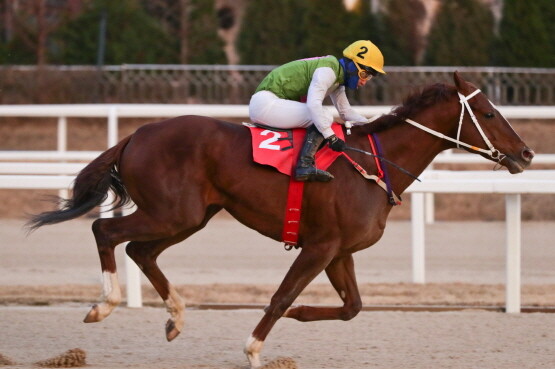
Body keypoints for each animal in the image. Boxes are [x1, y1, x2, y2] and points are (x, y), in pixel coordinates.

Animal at [29, 72, 536, 368]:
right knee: (105, 230)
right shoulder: (319, 247)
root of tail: (136, 134)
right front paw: (254, 348)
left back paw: (175, 317)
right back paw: (104, 305)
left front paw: (300, 315)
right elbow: (280, 295)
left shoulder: (339, 251)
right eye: (489, 112)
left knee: (139, 249)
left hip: (188, 217)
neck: (373, 164)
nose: (527, 153)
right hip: (173, 212)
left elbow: (351, 307)